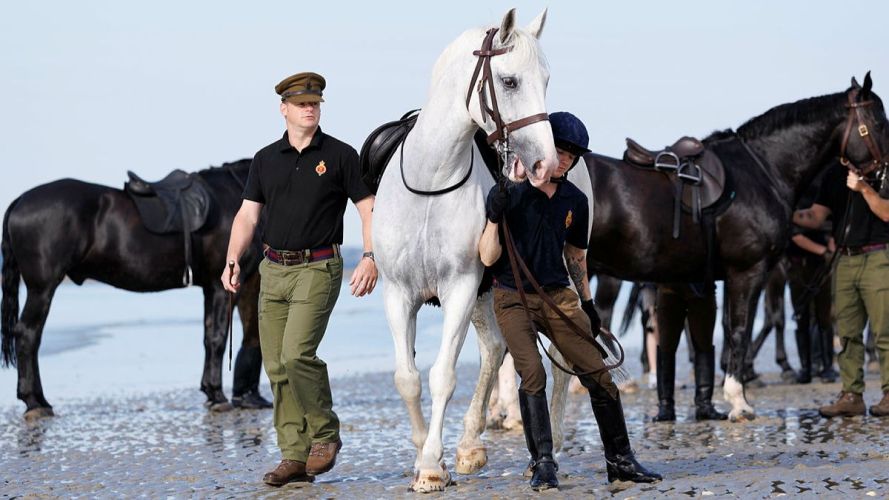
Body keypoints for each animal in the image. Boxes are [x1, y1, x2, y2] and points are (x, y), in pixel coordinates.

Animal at [1, 160, 265, 419]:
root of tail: (20, 200)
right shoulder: (220, 287)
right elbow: (217, 339)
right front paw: (218, 396)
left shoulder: (211, 288)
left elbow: (209, 336)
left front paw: (211, 392)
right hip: (42, 288)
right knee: (27, 334)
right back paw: (36, 402)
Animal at [372, 9, 557, 492]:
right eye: (510, 81)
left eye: (546, 79)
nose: (545, 165)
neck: (431, 181)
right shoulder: (398, 293)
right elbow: (407, 378)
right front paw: (423, 453)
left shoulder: (460, 287)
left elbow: (443, 376)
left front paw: (432, 466)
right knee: (493, 348)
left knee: (501, 353)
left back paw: (472, 445)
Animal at [562, 74, 889, 421]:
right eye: (878, 123)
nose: (884, 177)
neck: (764, 169)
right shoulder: (749, 272)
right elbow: (740, 329)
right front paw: (739, 400)